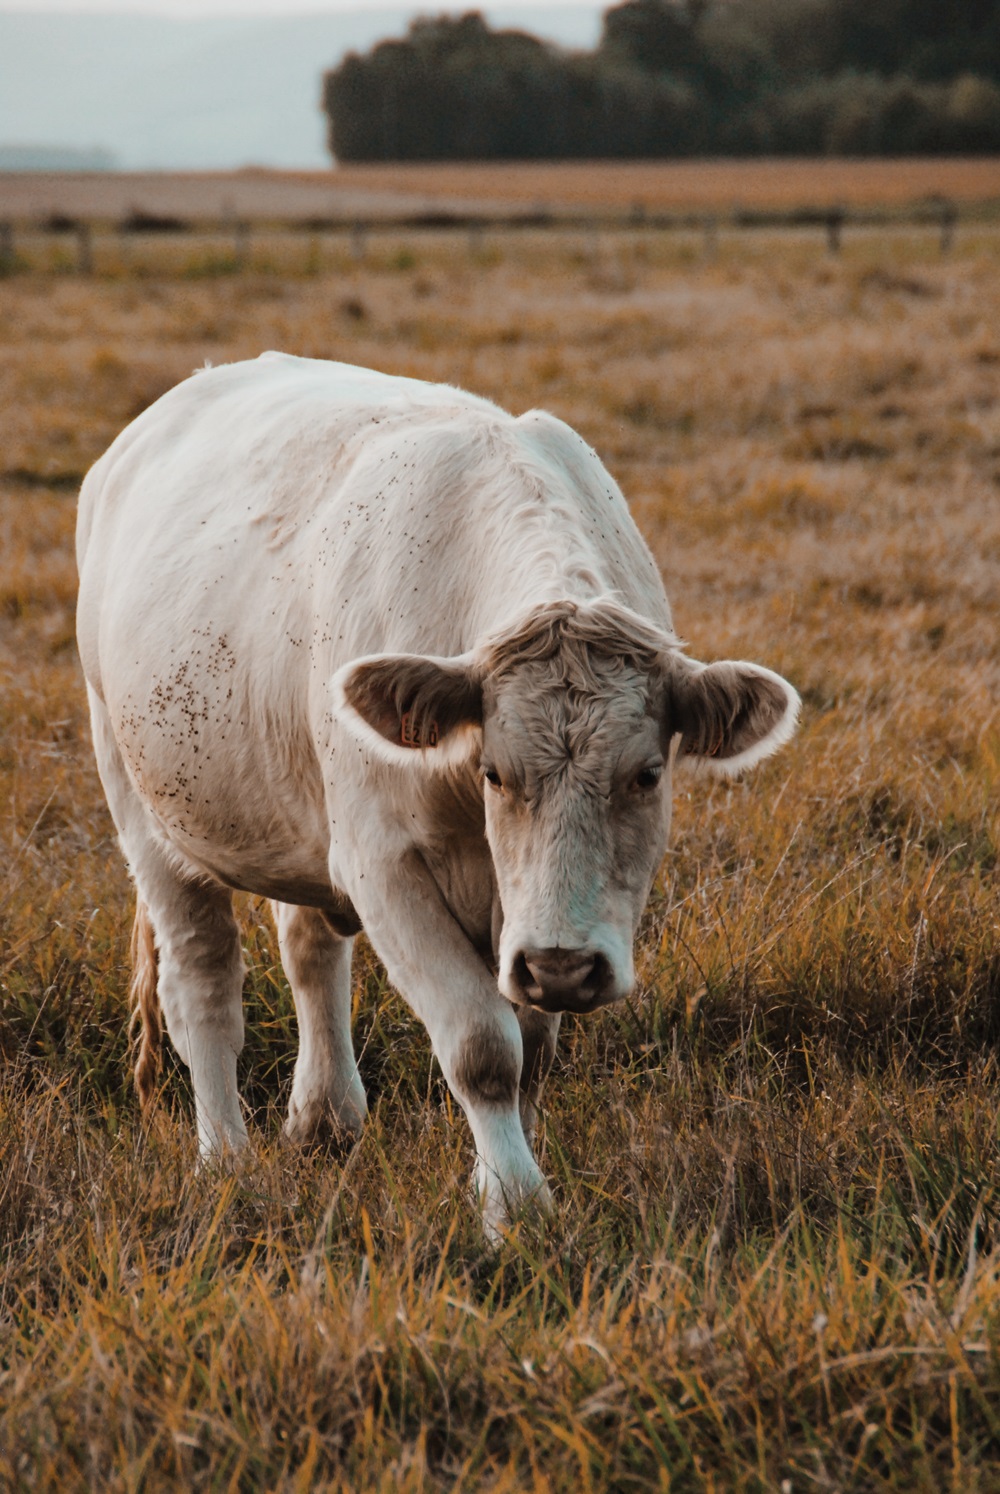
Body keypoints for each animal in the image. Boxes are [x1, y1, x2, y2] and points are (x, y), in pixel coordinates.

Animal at [73, 352, 801, 1237]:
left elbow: (530, 1050)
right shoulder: (385, 866)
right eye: (495, 770)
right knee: (201, 983)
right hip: (144, 810)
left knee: (310, 950)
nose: (566, 965)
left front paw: (503, 1176)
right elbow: (483, 1048)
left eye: (647, 775)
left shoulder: (518, 921)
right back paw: (226, 1160)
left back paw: (324, 1119)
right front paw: (515, 1208)